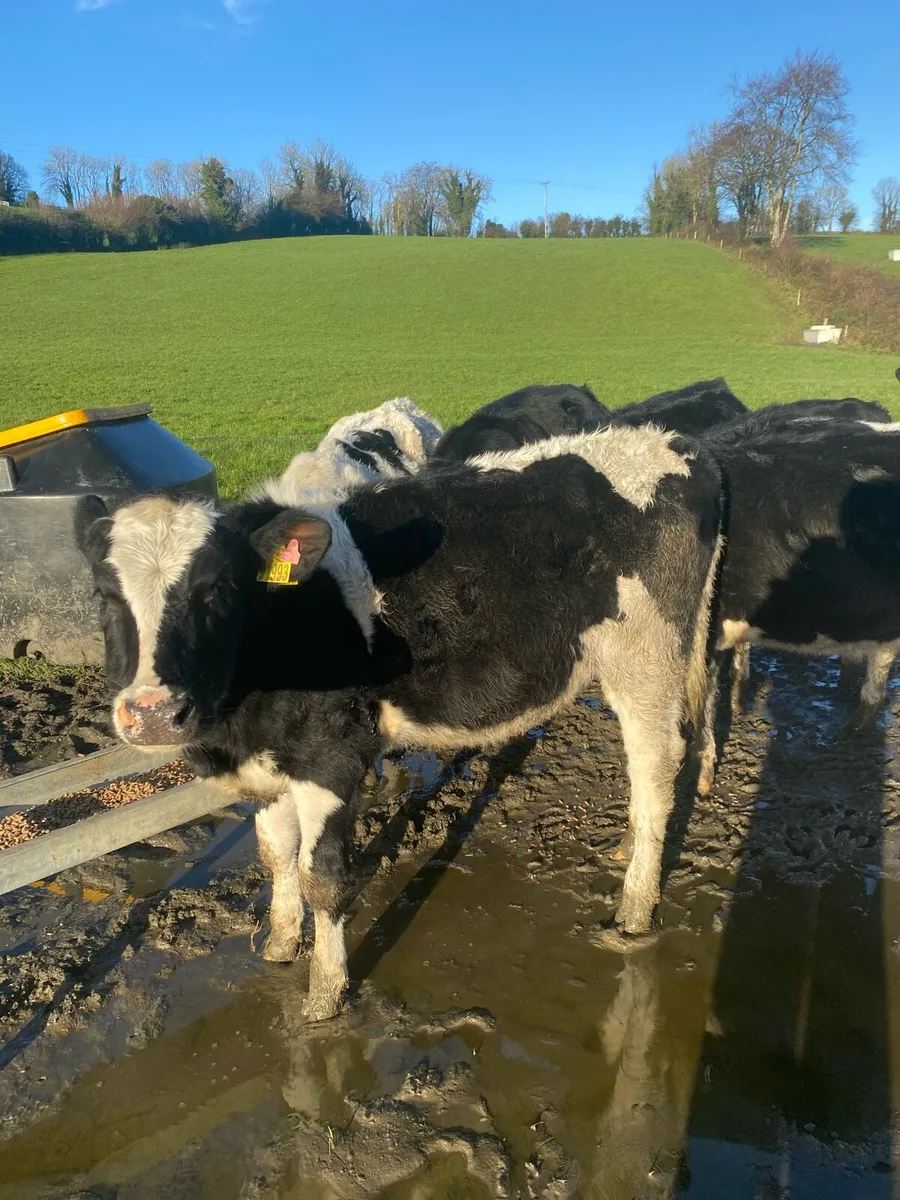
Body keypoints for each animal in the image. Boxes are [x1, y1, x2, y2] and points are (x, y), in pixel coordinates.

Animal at [77, 425, 724, 1019]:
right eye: (104, 594)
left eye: (216, 590)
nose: (152, 713)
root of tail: (673, 443)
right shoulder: (268, 764)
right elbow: (275, 856)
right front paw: (281, 949)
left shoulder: (332, 759)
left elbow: (322, 876)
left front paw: (323, 996)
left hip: (647, 659)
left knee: (655, 771)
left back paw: (635, 909)